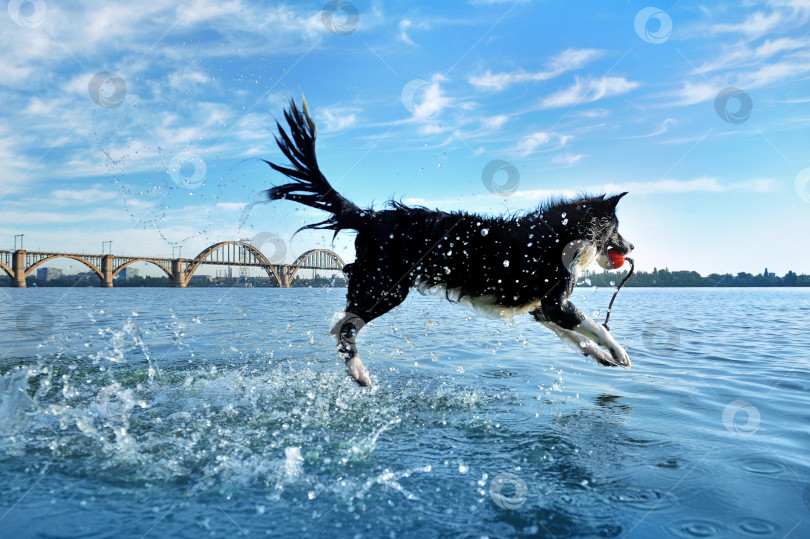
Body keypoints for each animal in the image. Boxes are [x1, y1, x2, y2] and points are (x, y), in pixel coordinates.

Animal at [266, 100, 632, 388]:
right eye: (617, 229)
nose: (630, 248)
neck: (564, 232)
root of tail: (369, 217)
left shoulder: (541, 308)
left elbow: (577, 336)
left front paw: (601, 356)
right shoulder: (556, 302)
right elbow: (596, 326)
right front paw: (619, 352)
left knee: (341, 326)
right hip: (386, 286)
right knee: (345, 330)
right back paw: (359, 372)